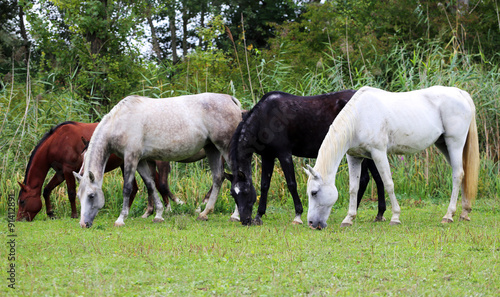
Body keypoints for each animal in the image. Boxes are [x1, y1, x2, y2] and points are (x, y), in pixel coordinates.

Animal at [17, 120, 186, 220]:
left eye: (22, 201)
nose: (20, 219)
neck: (57, 142)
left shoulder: (68, 170)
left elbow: (71, 193)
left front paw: (74, 214)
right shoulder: (60, 173)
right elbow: (46, 190)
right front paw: (51, 213)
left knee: (152, 183)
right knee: (148, 184)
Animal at [73, 92, 243, 227]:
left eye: (91, 196)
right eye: (79, 196)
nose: (83, 224)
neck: (120, 121)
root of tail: (230, 99)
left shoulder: (131, 158)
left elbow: (127, 188)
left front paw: (121, 219)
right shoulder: (141, 161)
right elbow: (151, 185)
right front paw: (158, 214)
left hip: (225, 149)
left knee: (237, 176)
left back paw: (235, 216)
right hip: (212, 149)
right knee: (218, 177)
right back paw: (204, 213)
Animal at [227, 89, 386, 224]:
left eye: (246, 192)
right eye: (233, 194)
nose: (245, 220)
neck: (265, 117)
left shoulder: (284, 154)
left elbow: (291, 184)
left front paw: (298, 215)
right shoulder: (268, 156)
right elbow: (264, 185)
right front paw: (259, 215)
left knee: (366, 178)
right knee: (375, 178)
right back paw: (377, 213)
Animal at [304, 85, 480, 229]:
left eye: (314, 192)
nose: (312, 223)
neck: (359, 117)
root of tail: (461, 93)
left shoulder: (378, 153)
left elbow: (388, 184)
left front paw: (395, 217)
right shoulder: (354, 157)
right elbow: (353, 188)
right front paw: (349, 218)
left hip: (454, 144)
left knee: (458, 175)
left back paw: (448, 215)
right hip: (443, 145)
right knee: (463, 174)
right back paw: (464, 212)